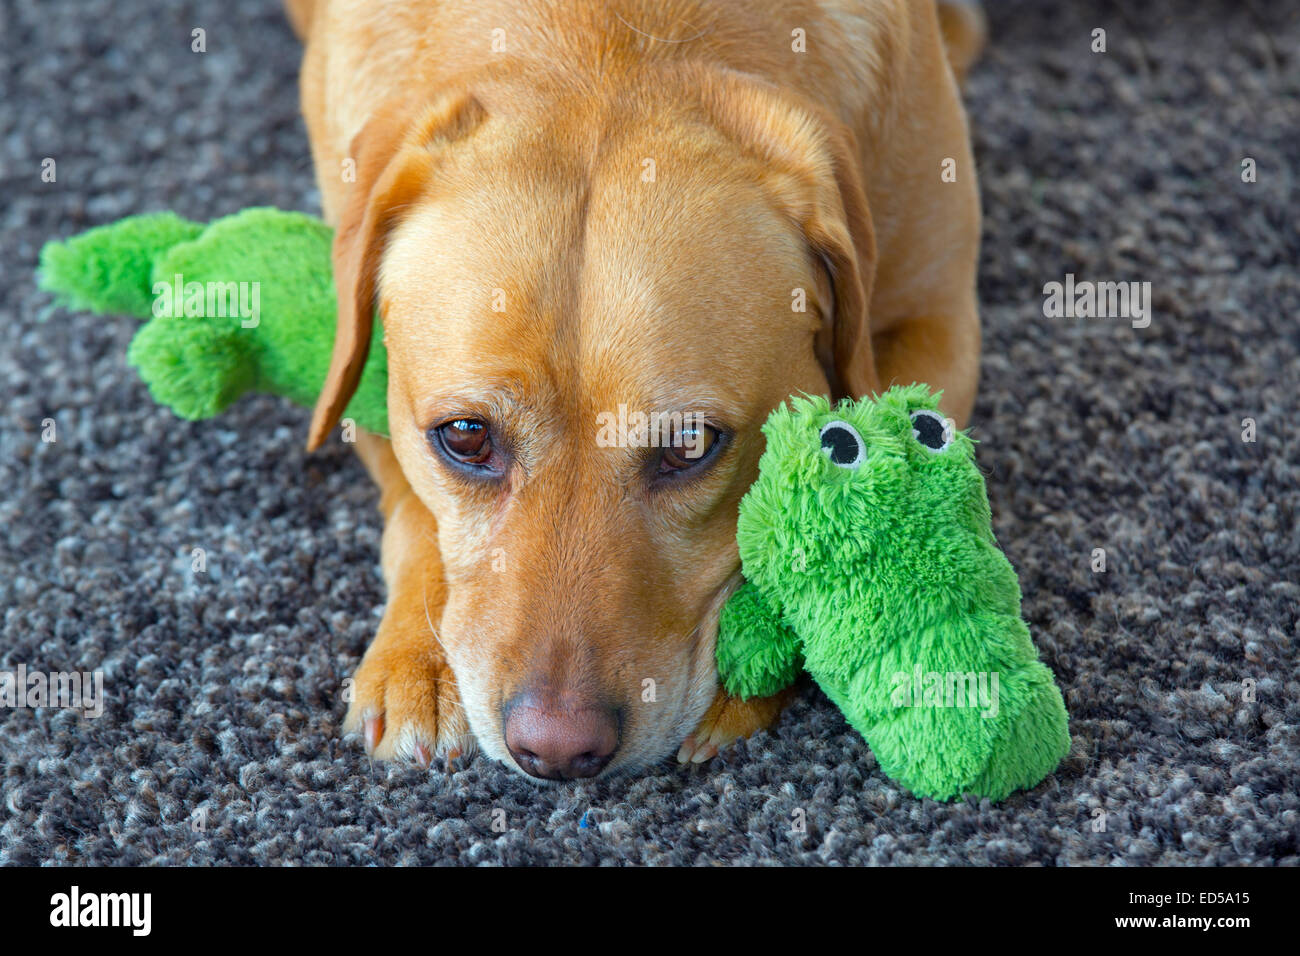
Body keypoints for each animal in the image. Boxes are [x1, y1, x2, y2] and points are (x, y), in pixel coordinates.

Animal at [289, 0, 982, 780]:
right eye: (465, 437)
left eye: (691, 445)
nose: (557, 750)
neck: (608, 37)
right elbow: (414, 509)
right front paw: (418, 657)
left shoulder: (938, 321)